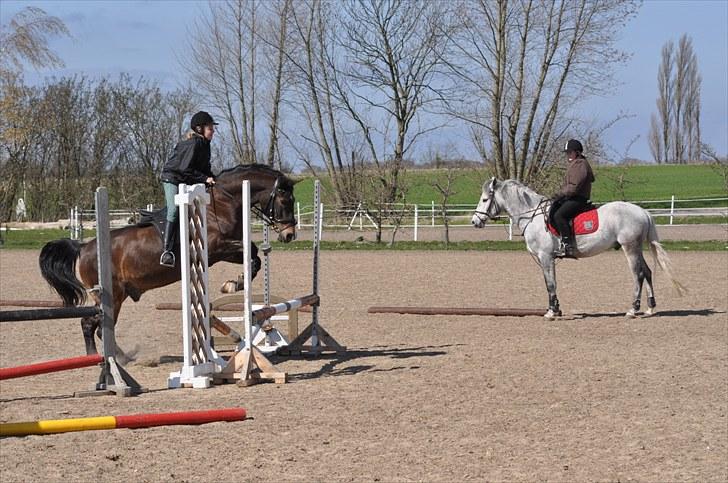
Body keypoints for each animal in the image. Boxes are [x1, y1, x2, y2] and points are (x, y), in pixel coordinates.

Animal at [38, 164, 296, 358]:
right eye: (285, 202)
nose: (289, 235)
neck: (221, 204)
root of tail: (84, 246)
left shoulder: (223, 252)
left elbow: (254, 256)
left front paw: (235, 283)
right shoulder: (217, 248)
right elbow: (250, 251)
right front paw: (234, 284)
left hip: (116, 294)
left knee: (97, 326)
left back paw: (116, 357)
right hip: (112, 294)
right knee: (94, 325)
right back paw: (111, 359)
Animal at [470, 180, 684, 320]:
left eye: (485, 199)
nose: (474, 221)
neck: (532, 216)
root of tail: (643, 212)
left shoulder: (545, 257)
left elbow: (550, 284)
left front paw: (551, 312)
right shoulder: (547, 258)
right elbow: (551, 282)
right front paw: (556, 308)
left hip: (630, 247)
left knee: (638, 274)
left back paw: (633, 309)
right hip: (637, 248)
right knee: (647, 272)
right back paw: (650, 308)